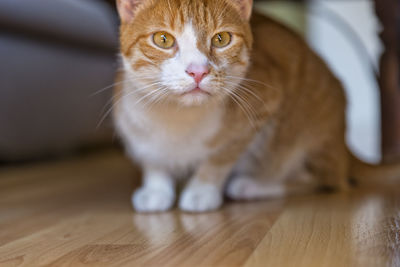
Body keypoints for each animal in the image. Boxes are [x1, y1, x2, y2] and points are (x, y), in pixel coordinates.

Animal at [112, 0, 400, 214]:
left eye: (221, 39)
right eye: (162, 39)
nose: (197, 71)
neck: (178, 118)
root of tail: (344, 147)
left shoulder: (263, 106)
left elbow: (221, 156)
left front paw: (202, 189)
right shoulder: (132, 126)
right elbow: (152, 158)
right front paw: (157, 189)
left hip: (306, 138)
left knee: (324, 181)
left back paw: (252, 186)